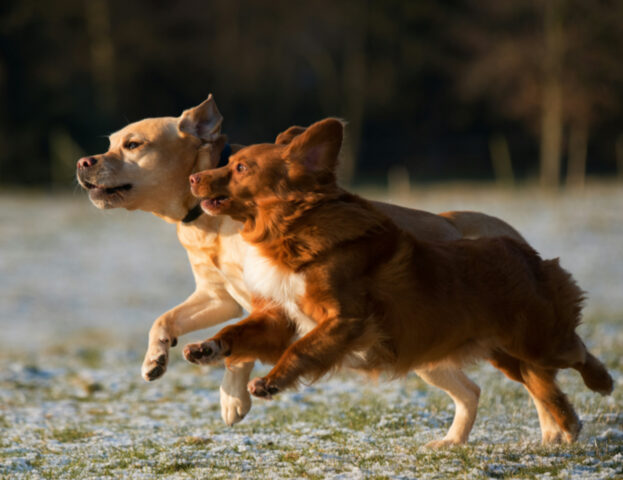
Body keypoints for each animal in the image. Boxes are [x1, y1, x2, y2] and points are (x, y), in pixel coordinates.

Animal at [75, 96, 568, 446]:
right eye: (110, 142)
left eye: (134, 145)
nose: (84, 162)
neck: (208, 222)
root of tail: (503, 233)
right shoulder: (218, 295)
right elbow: (165, 320)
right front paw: (155, 359)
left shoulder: (265, 301)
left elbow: (241, 351)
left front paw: (233, 399)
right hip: (420, 352)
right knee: (472, 391)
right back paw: (453, 442)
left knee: (533, 379)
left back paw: (553, 435)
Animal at [185, 118, 616, 444]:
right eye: (229, 162)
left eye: (241, 168)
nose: (192, 177)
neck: (291, 229)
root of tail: (523, 250)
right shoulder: (284, 317)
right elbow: (239, 331)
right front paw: (207, 347)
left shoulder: (345, 319)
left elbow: (302, 350)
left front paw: (271, 381)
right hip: (508, 352)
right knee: (539, 386)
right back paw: (562, 426)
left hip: (536, 340)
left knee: (577, 352)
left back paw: (602, 383)